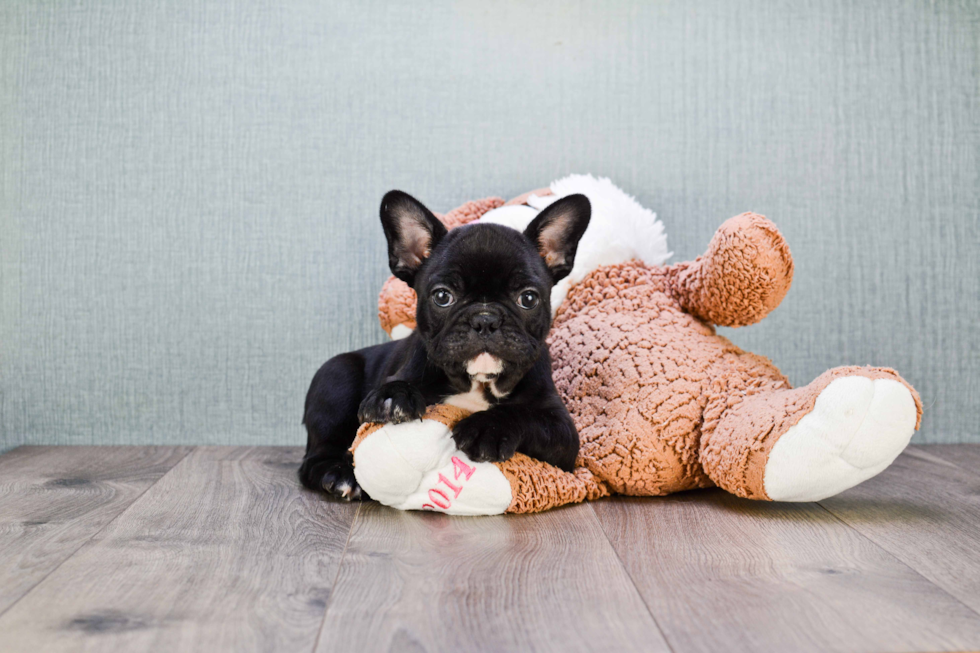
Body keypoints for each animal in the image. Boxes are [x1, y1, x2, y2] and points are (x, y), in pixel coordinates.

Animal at [298, 190, 588, 500]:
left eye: (529, 298)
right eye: (442, 296)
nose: (485, 319)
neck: (477, 383)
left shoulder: (562, 431)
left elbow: (523, 414)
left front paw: (486, 428)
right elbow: (397, 385)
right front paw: (393, 396)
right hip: (336, 377)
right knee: (315, 455)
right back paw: (340, 475)